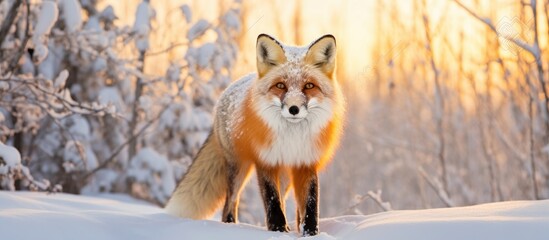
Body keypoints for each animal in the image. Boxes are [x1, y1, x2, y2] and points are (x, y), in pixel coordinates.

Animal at [164, 33, 342, 236]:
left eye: (309, 85)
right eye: (280, 85)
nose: (293, 109)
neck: (292, 137)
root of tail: (224, 95)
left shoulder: (306, 162)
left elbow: (310, 204)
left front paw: (310, 233)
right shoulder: (265, 161)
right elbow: (272, 201)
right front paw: (278, 230)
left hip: (285, 175)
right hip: (238, 167)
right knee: (230, 203)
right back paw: (230, 226)